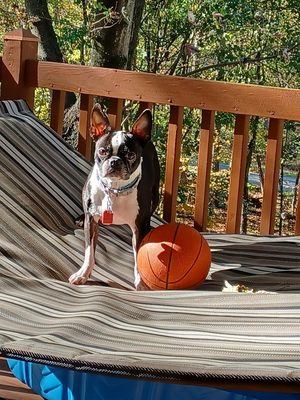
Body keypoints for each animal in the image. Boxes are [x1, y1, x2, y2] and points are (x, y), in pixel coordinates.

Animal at [69, 104, 161, 288]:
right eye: (102, 151)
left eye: (131, 155)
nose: (115, 161)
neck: (115, 190)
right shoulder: (92, 221)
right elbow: (89, 251)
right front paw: (83, 274)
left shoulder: (138, 226)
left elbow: (138, 255)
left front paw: (140, 282)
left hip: (156, 195)